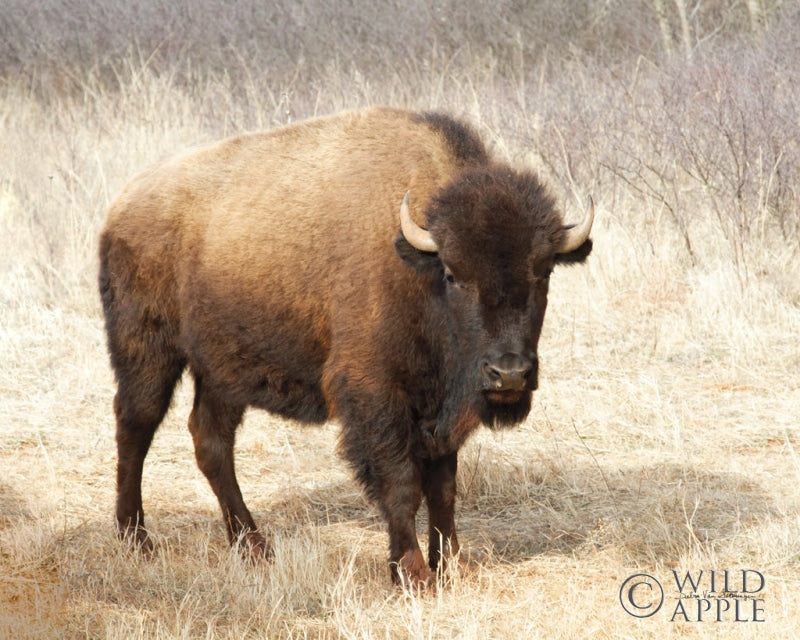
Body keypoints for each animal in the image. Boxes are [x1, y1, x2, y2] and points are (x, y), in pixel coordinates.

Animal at [99, 107, 593, 586]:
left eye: (545, 271)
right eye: (454, 274)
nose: (509, 373)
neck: (417, 266)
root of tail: (121, 206)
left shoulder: (438, 409)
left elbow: (444, 488)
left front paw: (452, 566)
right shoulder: (375, 394)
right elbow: (401, 483)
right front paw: (413, 574)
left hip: (221, 370)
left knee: (211, 442)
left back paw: (254, 548)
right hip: (147, 351)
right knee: (135, 427)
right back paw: (136, 540)